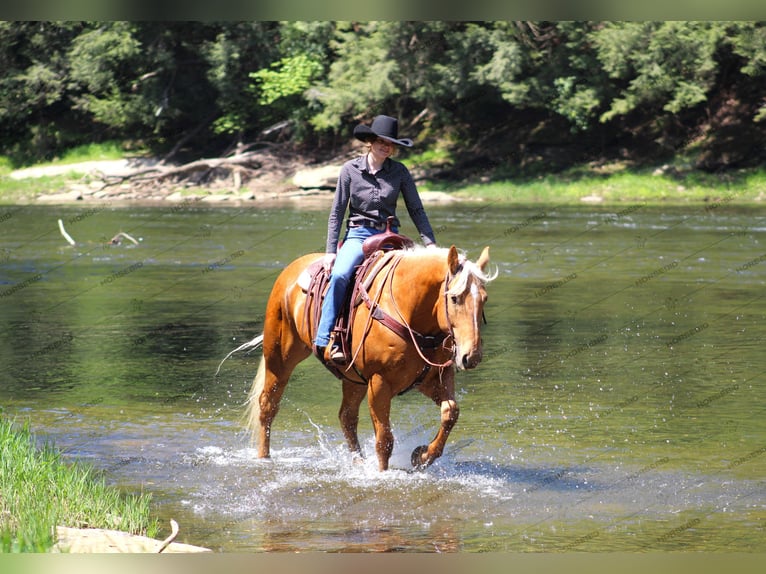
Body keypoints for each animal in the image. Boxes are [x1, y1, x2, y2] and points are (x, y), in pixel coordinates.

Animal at [237, 245, 496, 470]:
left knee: (347, 417)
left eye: (484, 299)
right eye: (454, 298)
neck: (410, 312)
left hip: (353, 378)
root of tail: (291, 270)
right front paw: (383, 474)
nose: (472, 356)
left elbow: (450, 412)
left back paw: (359, 462)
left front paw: (422, 456)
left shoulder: (432, 378)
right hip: (279, 357)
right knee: (268, 405)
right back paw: (264, 457)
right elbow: (384, 439)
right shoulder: (380, 382)